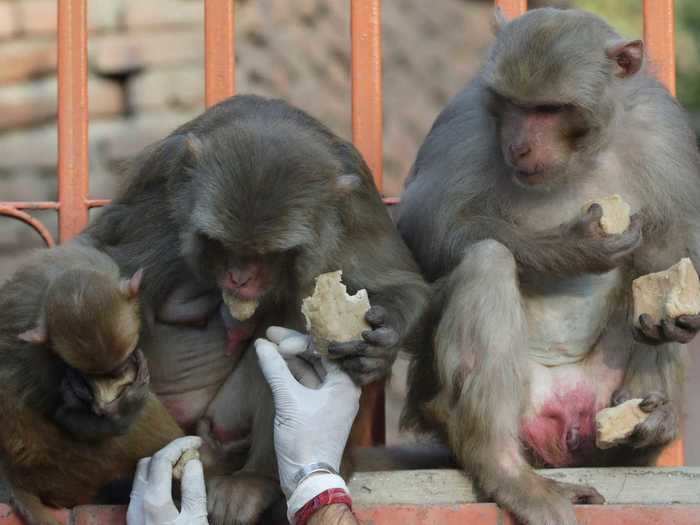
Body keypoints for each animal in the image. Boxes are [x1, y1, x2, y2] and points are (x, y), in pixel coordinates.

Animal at [0, 242, 185, 524]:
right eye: (88, 374)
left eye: (120, 364)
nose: (106, 403)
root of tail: (12, 472)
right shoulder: (43, 359)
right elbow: (66, 417)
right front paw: (123, 408)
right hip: (70, 467)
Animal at [82, 94, 430, 524]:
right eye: (224, 244)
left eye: (266, 254)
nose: (239, 278)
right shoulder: (159, 191)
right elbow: (98, 259)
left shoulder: (356, 208)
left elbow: (400, 284)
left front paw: (380, 346)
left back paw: (256, 480)